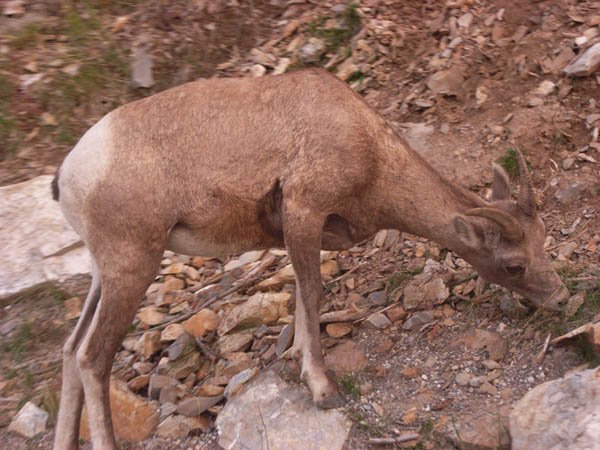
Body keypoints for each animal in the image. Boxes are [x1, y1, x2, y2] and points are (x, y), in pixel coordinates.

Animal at [50, 68, 568, 448]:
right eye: (514, 265)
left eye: (543, 239)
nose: (563, 300)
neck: (371, 153)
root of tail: (69, 175)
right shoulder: (304, 211)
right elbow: (315, 292)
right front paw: (322, 388)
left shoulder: (302, 232)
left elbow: (302, 296)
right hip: (132, 265)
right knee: (93, 357)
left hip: (104, 274)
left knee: (71, 349)